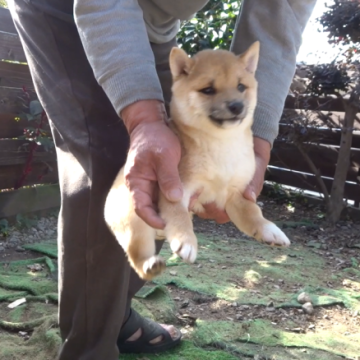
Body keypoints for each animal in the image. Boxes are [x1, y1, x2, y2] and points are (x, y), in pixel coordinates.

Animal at [104, 40, 290, 280]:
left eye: (241, 87)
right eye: (208, 90)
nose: (237, 106)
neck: (221, 144)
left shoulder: (236, 194)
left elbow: (253, 212)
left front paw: (269, 230)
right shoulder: (177, 189)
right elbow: (180, 216)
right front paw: (186, 241)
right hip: (135, 222)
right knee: (137, 257)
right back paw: (150, 265)